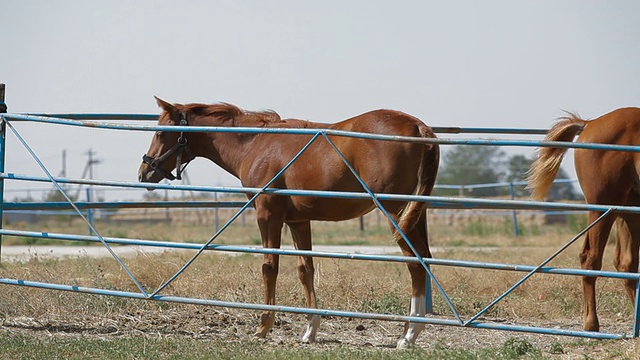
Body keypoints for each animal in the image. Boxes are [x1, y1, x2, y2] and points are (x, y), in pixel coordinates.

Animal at [139, 97, 440, 348]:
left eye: (161, 132)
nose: (144, 172)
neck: (257, 144)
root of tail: (418, 126)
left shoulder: (267, 215)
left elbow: (269, 266)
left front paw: (263, 326)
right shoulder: (298, 221)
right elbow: (305, 269)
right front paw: (310, 330)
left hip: (396, 214)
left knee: (415, 263)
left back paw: (409, 335)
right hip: (415, 215)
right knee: (424, 258)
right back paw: (411, 331)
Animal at [528, 107, 640, 332]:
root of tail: (590, 123)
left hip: (628, 208)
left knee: (627, 264)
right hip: (603, 206)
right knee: (591, 258)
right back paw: (591, 324)